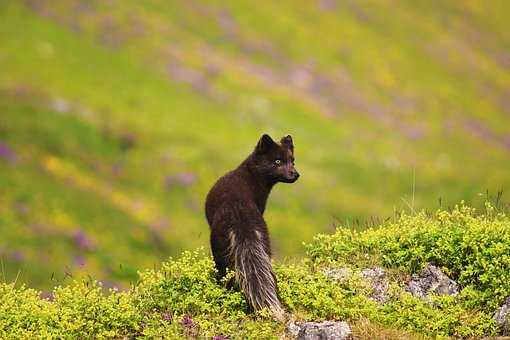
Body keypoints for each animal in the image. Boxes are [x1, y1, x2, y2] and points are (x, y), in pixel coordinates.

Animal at [203, 133, 298, 318]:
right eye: (277, 161)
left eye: (292, 160)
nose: (295, 174)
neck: (251, 176)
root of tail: (241, 217)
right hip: (265, 246)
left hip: (219, 249)